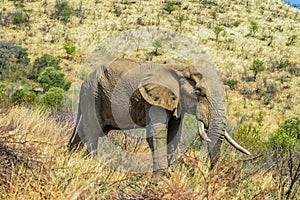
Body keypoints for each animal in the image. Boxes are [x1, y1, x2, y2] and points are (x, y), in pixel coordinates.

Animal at [68, 57, 251, 170]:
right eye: (198, 92)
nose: (211, 173)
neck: (182, 68)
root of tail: (85, 80)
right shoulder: (154, 100)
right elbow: (157, 135)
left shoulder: (176, 103)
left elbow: (174, 136)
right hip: (94, 95)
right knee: (92, 132)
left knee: (85, 131)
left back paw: (70, 156)